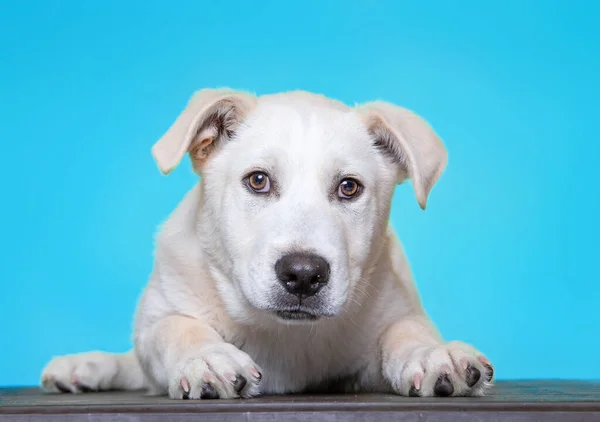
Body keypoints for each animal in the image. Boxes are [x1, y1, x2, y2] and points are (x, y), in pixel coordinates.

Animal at [39, 87, 494, 398]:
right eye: (258, 180)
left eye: (349, 187)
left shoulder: (385, 321)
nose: (304, 275)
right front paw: (208, 356)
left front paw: (433, 354)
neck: (283, 332)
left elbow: (405, 329)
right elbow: (176, 327)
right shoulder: (159, 316)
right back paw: (82, 366)